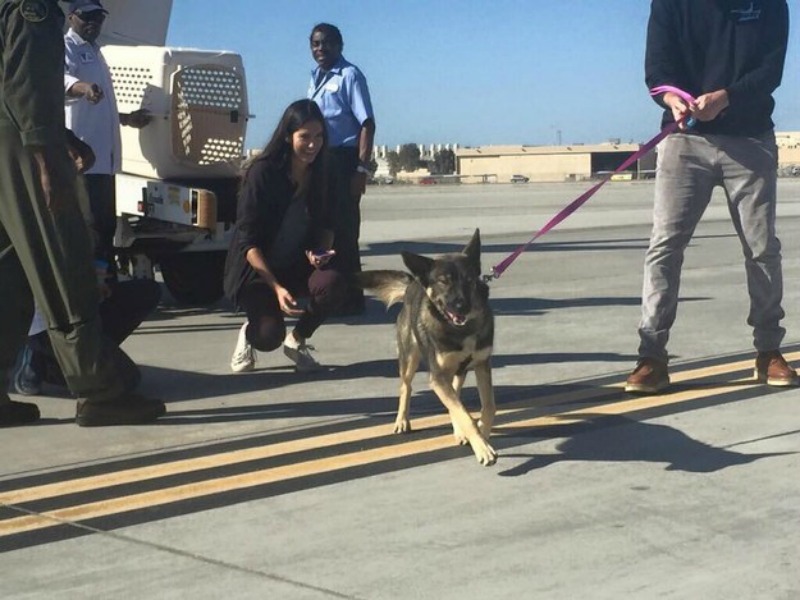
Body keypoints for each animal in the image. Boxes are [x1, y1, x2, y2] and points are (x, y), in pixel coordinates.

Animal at [354, 229, 494, 464]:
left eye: (468, 279)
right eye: (443, 282)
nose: (461, 306)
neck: (461, 330)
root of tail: (413, 281)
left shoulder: (482, 364)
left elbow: (487, 407)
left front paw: (482, 432)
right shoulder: (437, 377)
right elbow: (464, 414)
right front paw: (482, 448)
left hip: (457, 371)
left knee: (455, 393)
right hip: (410, 358)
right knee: (406, 387)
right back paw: (402, 420)